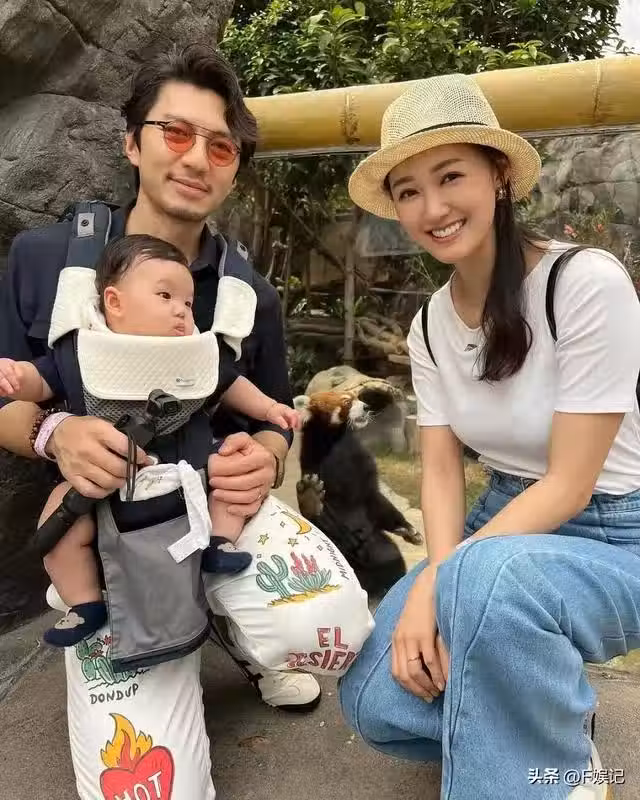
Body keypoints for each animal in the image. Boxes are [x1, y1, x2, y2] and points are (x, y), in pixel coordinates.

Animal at [293, 390, 422, 598]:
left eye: (357, 397)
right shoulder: (315, 467)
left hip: (379, 545)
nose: (366, 407)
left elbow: (378, 503)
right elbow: (327, 514)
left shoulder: (365, 476)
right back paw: (310, 499)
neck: (338, 440)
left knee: (392, 558)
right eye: (347, 402)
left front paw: (408, 530)